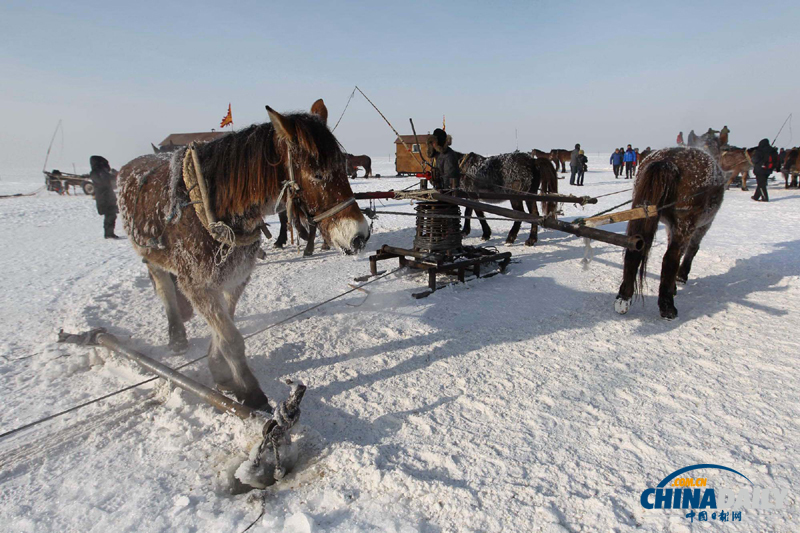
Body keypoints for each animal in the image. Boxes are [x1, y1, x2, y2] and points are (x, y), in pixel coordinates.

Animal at [117, 100, 370, 408]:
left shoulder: (236, 279)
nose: (359, 235)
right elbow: (231, 338)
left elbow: (226, 328)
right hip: (151, 256)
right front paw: (250, 392)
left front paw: (220, 371)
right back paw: (176, 335)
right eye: (319, 174)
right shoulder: (198, 285)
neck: (215, 213)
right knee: (164, 287)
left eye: (345, 168)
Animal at [616, 148, 728, 318]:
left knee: (634, 251)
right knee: (671, 258)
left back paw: (623, 298)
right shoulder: (703, 225)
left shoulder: (671, 226)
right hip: (686, 224)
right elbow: (691, 250)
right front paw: (680, 278)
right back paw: (667, 305)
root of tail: (667, 161)